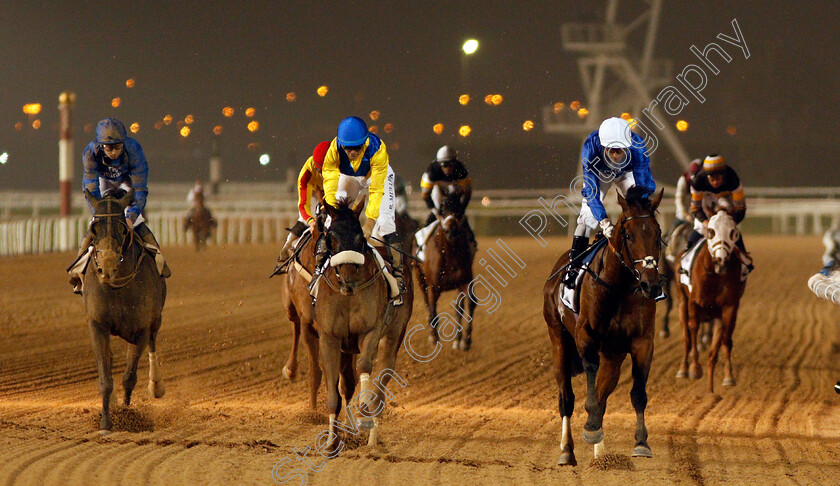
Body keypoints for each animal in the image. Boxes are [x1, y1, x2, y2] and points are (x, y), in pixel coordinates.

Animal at [83, 188, 167, 434]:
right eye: (94, 228)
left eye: (122, 228)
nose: (107, 267)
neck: (117, 288)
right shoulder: (97, 324)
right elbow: (105, 379)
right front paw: (106, 422)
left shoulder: (140, 328)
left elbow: (129, 377)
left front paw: (127, 414)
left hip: (154, 321)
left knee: (152, 344)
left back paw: (156, 385)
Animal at [416, 190, 476, 350]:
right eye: (442, 210)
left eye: (459, 209)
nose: (451, 228)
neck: (450, 255)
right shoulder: (433, 286)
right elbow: (432, 310)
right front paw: (434, 337)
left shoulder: (465, 281)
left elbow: (468, 305)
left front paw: (465, 340)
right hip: (420, 277)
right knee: (427, 303)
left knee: (458, 309)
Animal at [544, 188, 664, 466]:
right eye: (628, 235)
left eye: (658, 233)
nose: (652, 285)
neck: (618, 287)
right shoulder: (586, 337)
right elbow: (588, 390)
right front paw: (589, 427)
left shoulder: (642, 342)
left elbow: (637, 393)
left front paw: (641, 443)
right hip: (559, 341)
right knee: (566, 398)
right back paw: (567, 450)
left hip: (613, 356)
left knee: (602, 393)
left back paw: (599, 446)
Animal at [676, 211, 748, 392]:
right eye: (711, 232)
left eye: (732, 232)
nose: (721, 260)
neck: (715, 275)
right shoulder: (693, 302)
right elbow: (693, 329)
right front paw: (695, 368)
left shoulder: (728, 308)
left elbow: (725, 340)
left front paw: (728, 377)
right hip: (681, 301)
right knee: (686, 336)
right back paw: (683, 368)